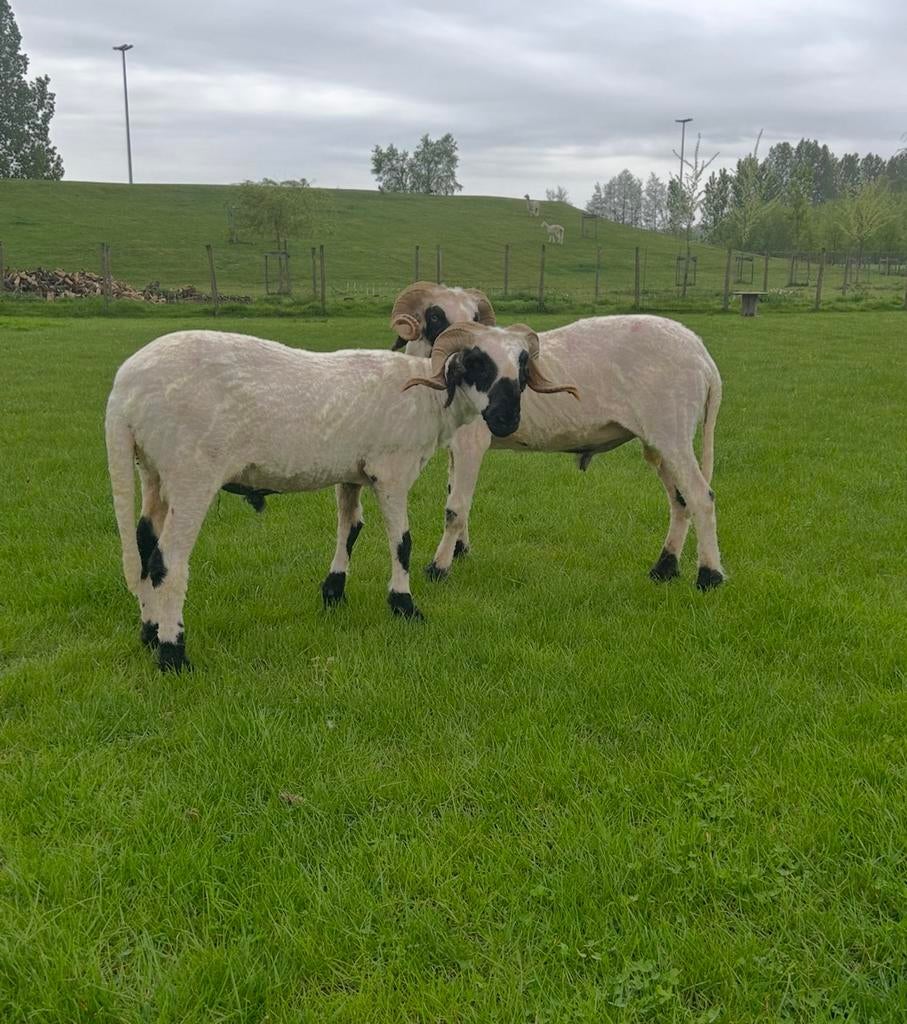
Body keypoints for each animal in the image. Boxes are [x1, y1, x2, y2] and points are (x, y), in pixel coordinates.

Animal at [105, 324, 575, 671]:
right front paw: (405, 606)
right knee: (168, 561)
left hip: (153, 471)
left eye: (522, 365)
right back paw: (173, 653)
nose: (507, 418)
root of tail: (123, 393)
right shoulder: (391, 470)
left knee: (145, 544)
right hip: (191, 473)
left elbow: (350, 528)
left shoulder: (352, 473)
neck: (425, 396)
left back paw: (149, 632)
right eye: (476, 362)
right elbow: (402, 542)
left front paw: (334, 593)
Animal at [389, 284, 724, 591]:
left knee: (700, 497)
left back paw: (709, 576)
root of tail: (703, 356)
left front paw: (438, 568)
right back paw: (664, 569)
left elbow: (456, 508)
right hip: (659, 441)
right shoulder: (455, 447)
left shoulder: (471, 442)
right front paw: (460, 551)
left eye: (474, 316)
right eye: (435, 315)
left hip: (673, 432)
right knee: (680, 501)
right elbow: (454, 494)